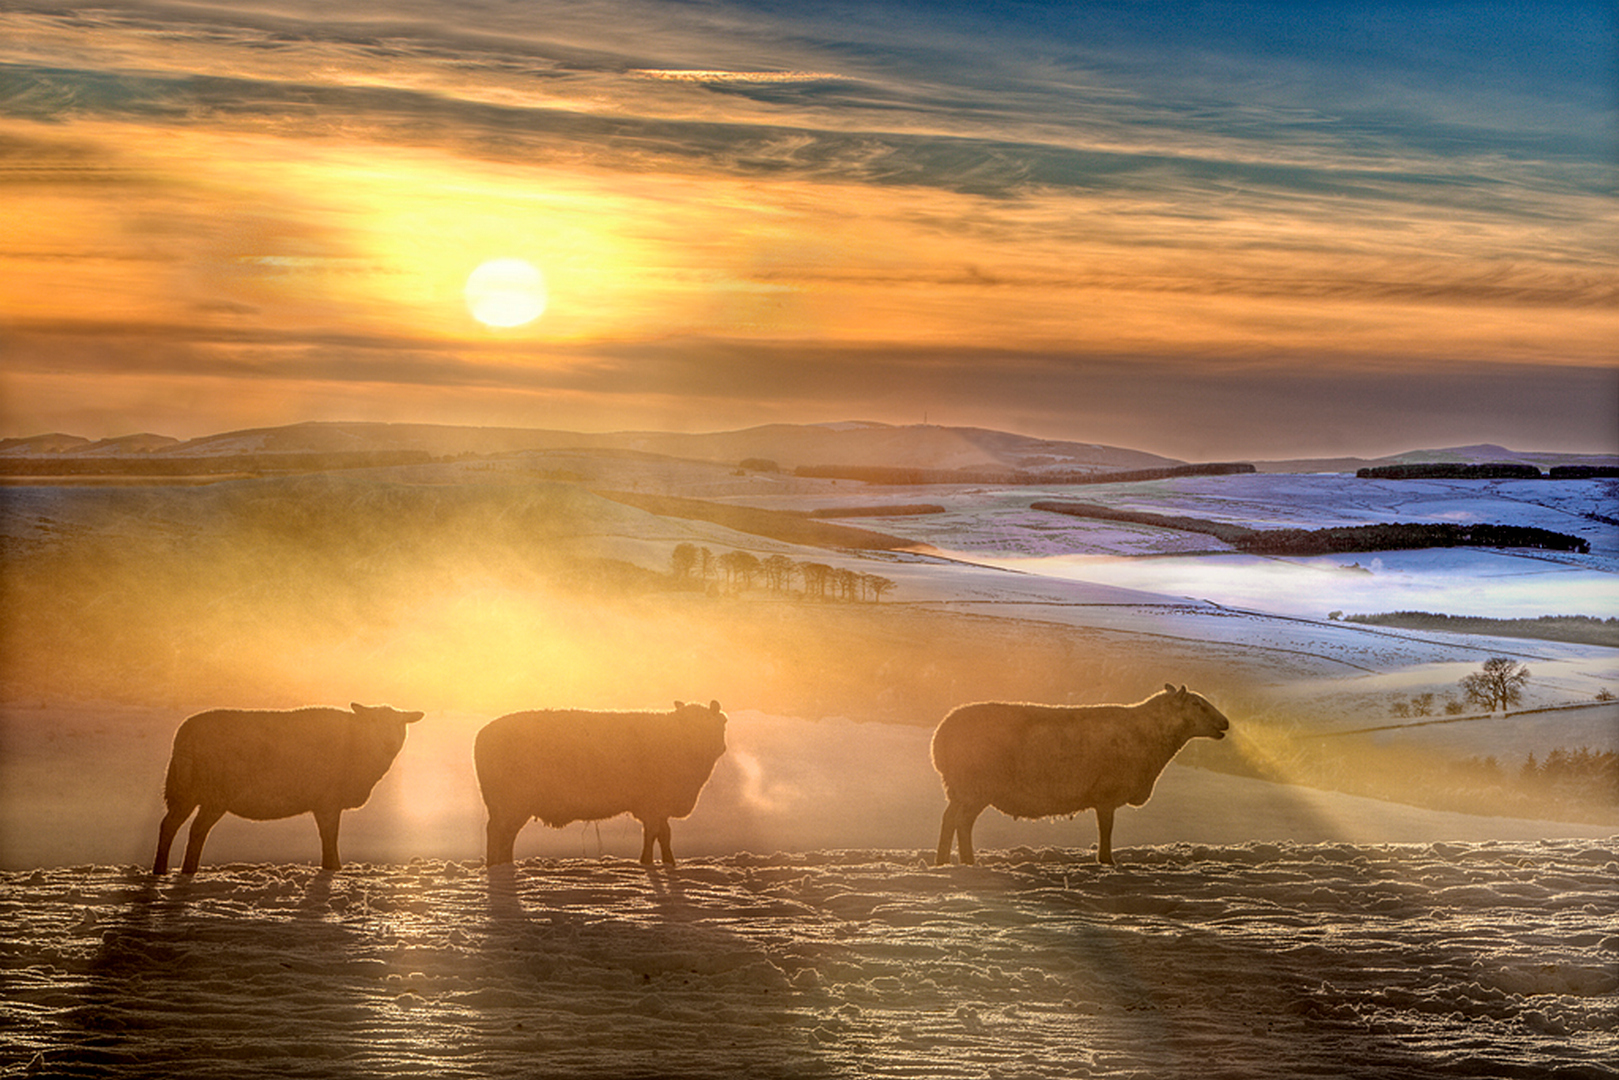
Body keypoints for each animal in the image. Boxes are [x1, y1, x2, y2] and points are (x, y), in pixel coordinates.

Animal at [153, 703, 424, 874]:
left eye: (401, 723)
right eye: (373, 720)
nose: (389, 743)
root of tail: (183, 736)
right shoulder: (327, 801)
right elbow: (330, 837)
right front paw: (334, 868)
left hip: (187, 791)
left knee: (170, 825)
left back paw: (164, 871)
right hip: (213, 793)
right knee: (194, 830)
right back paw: (183, 871)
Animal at [474, 700, 727, 868]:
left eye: (715, 722)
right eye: (684, 723)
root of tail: (482, 735)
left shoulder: (659, 807)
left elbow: (664, 835)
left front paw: (668, 862)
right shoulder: (652, 806)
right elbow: (653, 835)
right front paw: (646, 862)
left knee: (502, 835)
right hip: (511, 803)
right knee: (500, 833)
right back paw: (498, 866)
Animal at [931, 684, 1229, 866]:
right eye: (1197, 704)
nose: (1226, 723)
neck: (1150, 733)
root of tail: (940, 736)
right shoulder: (1106, 795)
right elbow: (1106, 829)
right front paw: (1107, 860)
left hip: (959, 789)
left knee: (948, 819)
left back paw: (942, 860)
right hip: (975, 787)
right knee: (963, 822)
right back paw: (968, 861)